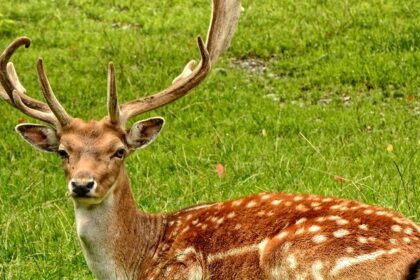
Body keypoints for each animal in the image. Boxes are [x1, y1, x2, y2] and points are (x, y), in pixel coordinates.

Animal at [0, 0, 420, 280]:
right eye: (63, 151)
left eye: (118, 151)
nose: (82, 184)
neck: (138, 260)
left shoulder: (181, 271)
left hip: (302, 257)